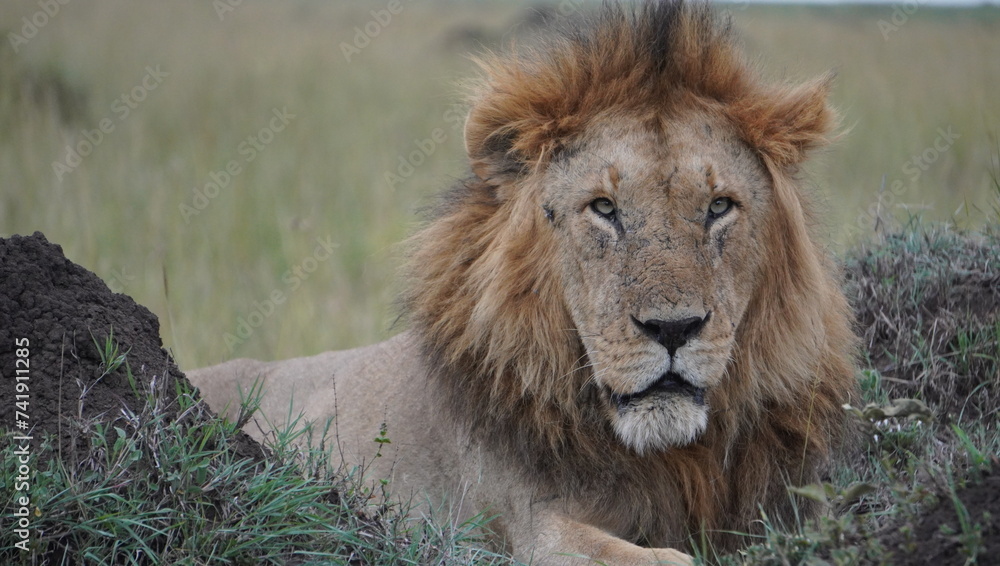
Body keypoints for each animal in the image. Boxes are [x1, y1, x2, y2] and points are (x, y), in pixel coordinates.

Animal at [189, 2, 860, 564]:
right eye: (604, 208)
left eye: (719, 206)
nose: (673, 329)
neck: (668, 455)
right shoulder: (530, 526)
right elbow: (665, 558)